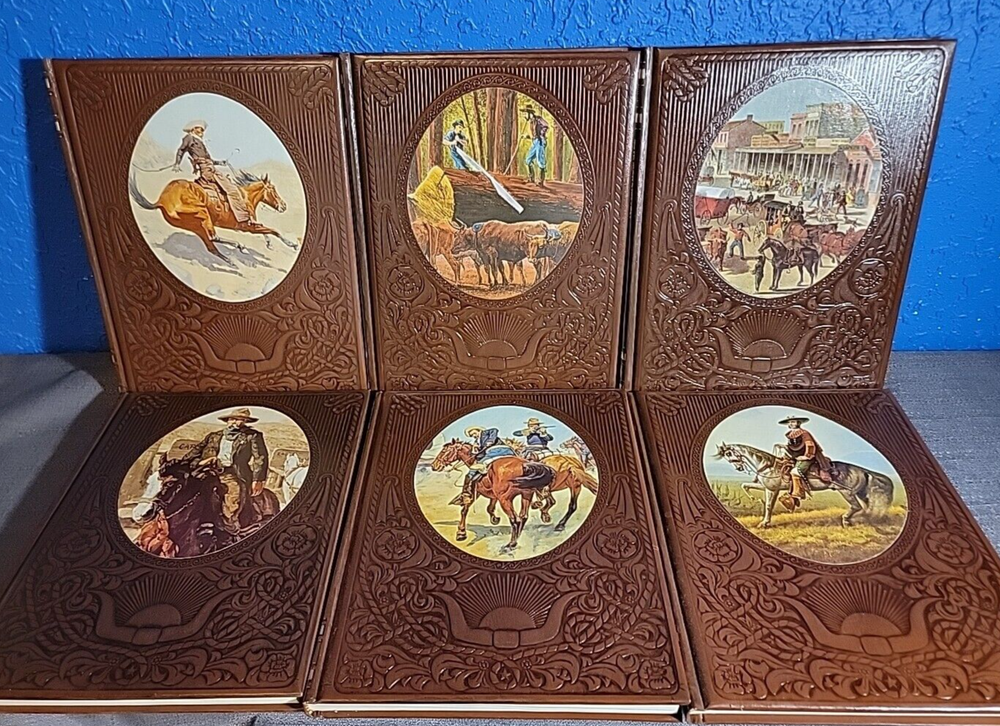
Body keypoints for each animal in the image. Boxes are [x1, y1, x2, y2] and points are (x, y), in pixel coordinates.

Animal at [129, 168, 296, 261]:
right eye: (273, 189)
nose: (284, 206)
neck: (245, 196)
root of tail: (161, 201)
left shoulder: (252, 224)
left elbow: (267, 230)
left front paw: (269, 243)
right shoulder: (247, 226)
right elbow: (273, 230)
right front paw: (292, 244)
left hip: (195, 225)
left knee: (211, 246)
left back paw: (230, 261)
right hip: (202, 214)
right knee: (213, 237)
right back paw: (239, 247)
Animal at [713, 442, 894, 528]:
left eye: (729, 453)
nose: (738, 468)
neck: (768, 465)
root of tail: (863, 470)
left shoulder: (772, 489)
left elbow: (769, 506)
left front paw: (764, 523)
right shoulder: (769, 488)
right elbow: (746, 486)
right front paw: (755, 500)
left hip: (847, 492)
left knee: (857, 507)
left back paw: (846, 520)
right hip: (860, 492)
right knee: (867, 506)